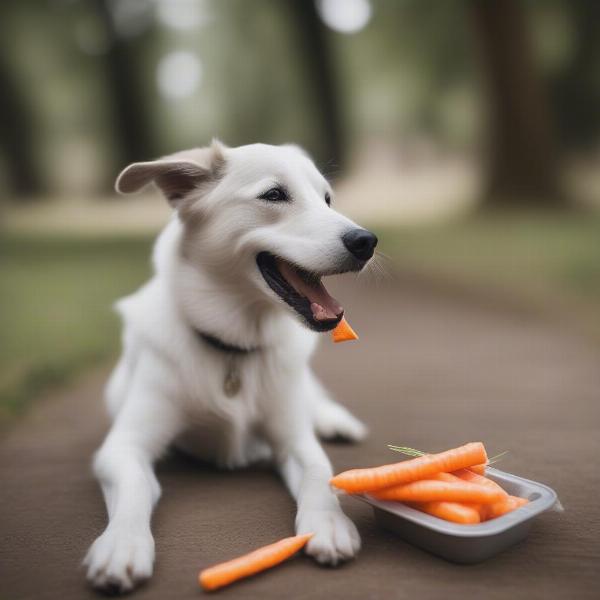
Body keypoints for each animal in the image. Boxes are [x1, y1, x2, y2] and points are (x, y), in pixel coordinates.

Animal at [83, 139, 380, 592]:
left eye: (328, 199)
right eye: (274, 195)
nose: (367, 241)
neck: (233, 348)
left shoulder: (293, 439)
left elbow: (319, 471)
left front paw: (328, 522)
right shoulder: (123, 447)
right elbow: (133, 488)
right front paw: (122, 544)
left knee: (315, 398)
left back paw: (336, 420)